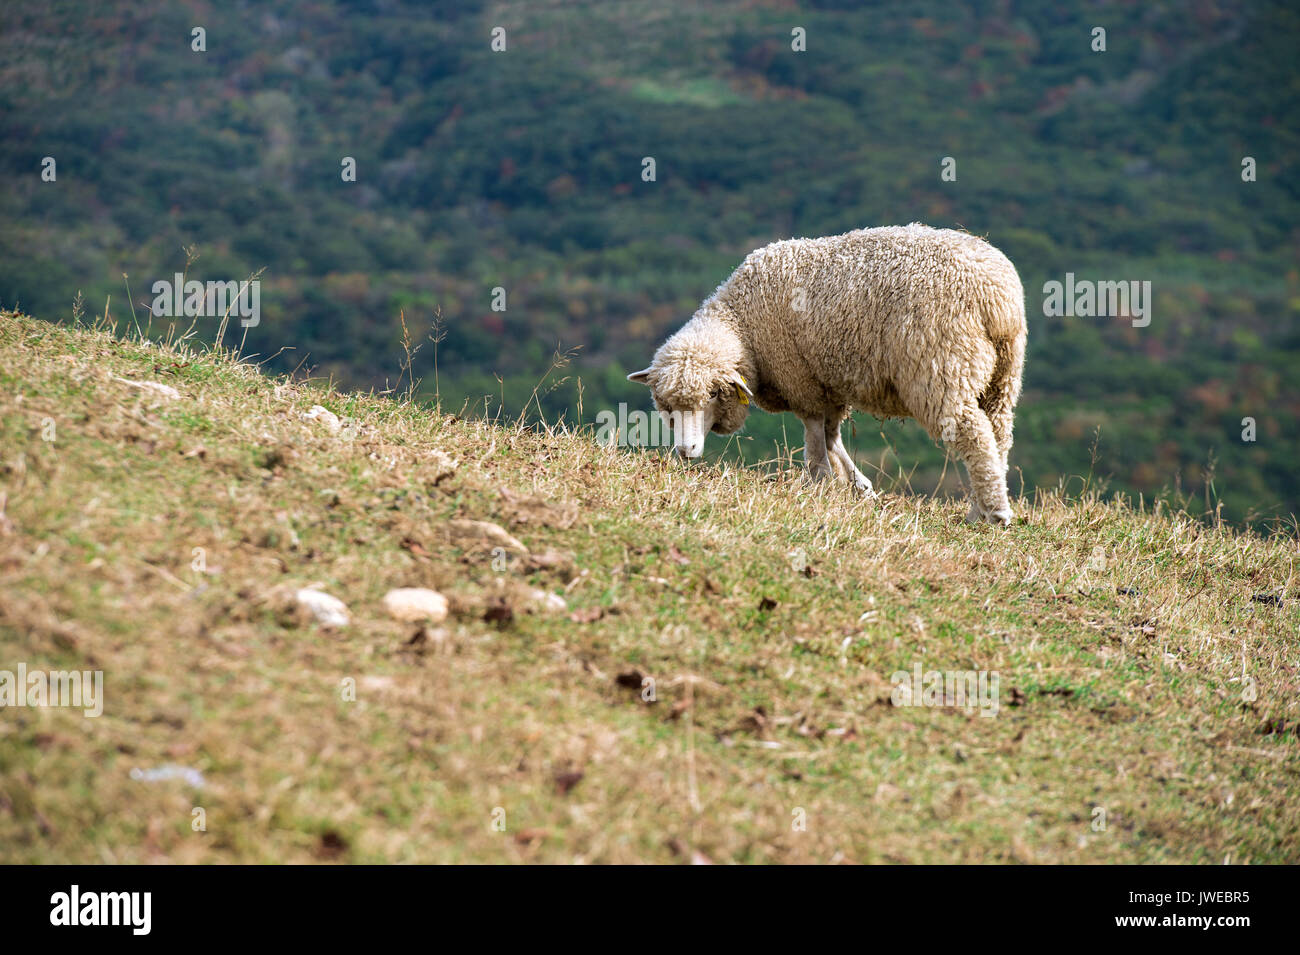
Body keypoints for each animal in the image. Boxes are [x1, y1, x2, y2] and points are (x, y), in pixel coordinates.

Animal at [626, 220, 1024, 527]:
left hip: (943, 366)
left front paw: (820, 483)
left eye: (712, 394)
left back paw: (994, 514)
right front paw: (859, 486)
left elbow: (817, 438)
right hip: (1003, 374)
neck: (744, 326)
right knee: (998, 435)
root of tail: (995, 296)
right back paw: (980, 507)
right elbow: (833, 436)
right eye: (665, 406)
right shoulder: (827, 383)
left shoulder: (803, 382)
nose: (686, 451)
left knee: (973, 434)